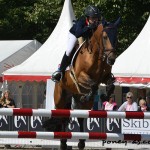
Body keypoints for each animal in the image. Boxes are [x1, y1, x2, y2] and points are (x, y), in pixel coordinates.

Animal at [42, 17, 120, 149]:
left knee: (80, 118)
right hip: (60, 100)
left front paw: (104, 96)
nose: (112, 59)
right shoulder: (80, 77)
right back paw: (63, 142)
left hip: (79, 102)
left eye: (116, 37)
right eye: (105, 37)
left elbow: (110, 85)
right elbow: (93, 85)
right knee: (62, 117)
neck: (96, 55)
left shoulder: (105, 77)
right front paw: (90, 95)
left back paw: (81, 141)